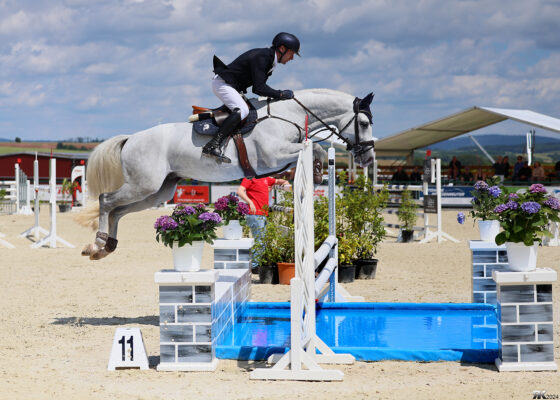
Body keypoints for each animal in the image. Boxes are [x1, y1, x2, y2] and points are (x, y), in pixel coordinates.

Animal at [79, 88, 374, 260]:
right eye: (363, 122)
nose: (368, 158)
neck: (288, 115)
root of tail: (130, 139)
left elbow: (315, 150)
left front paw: (317, 173)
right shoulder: (274, 155)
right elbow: (318, 149)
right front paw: (316, 170)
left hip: (157, 191)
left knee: (117, 211)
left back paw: (106, 247)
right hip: (143, 185)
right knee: (106, 200)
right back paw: (97, 243)